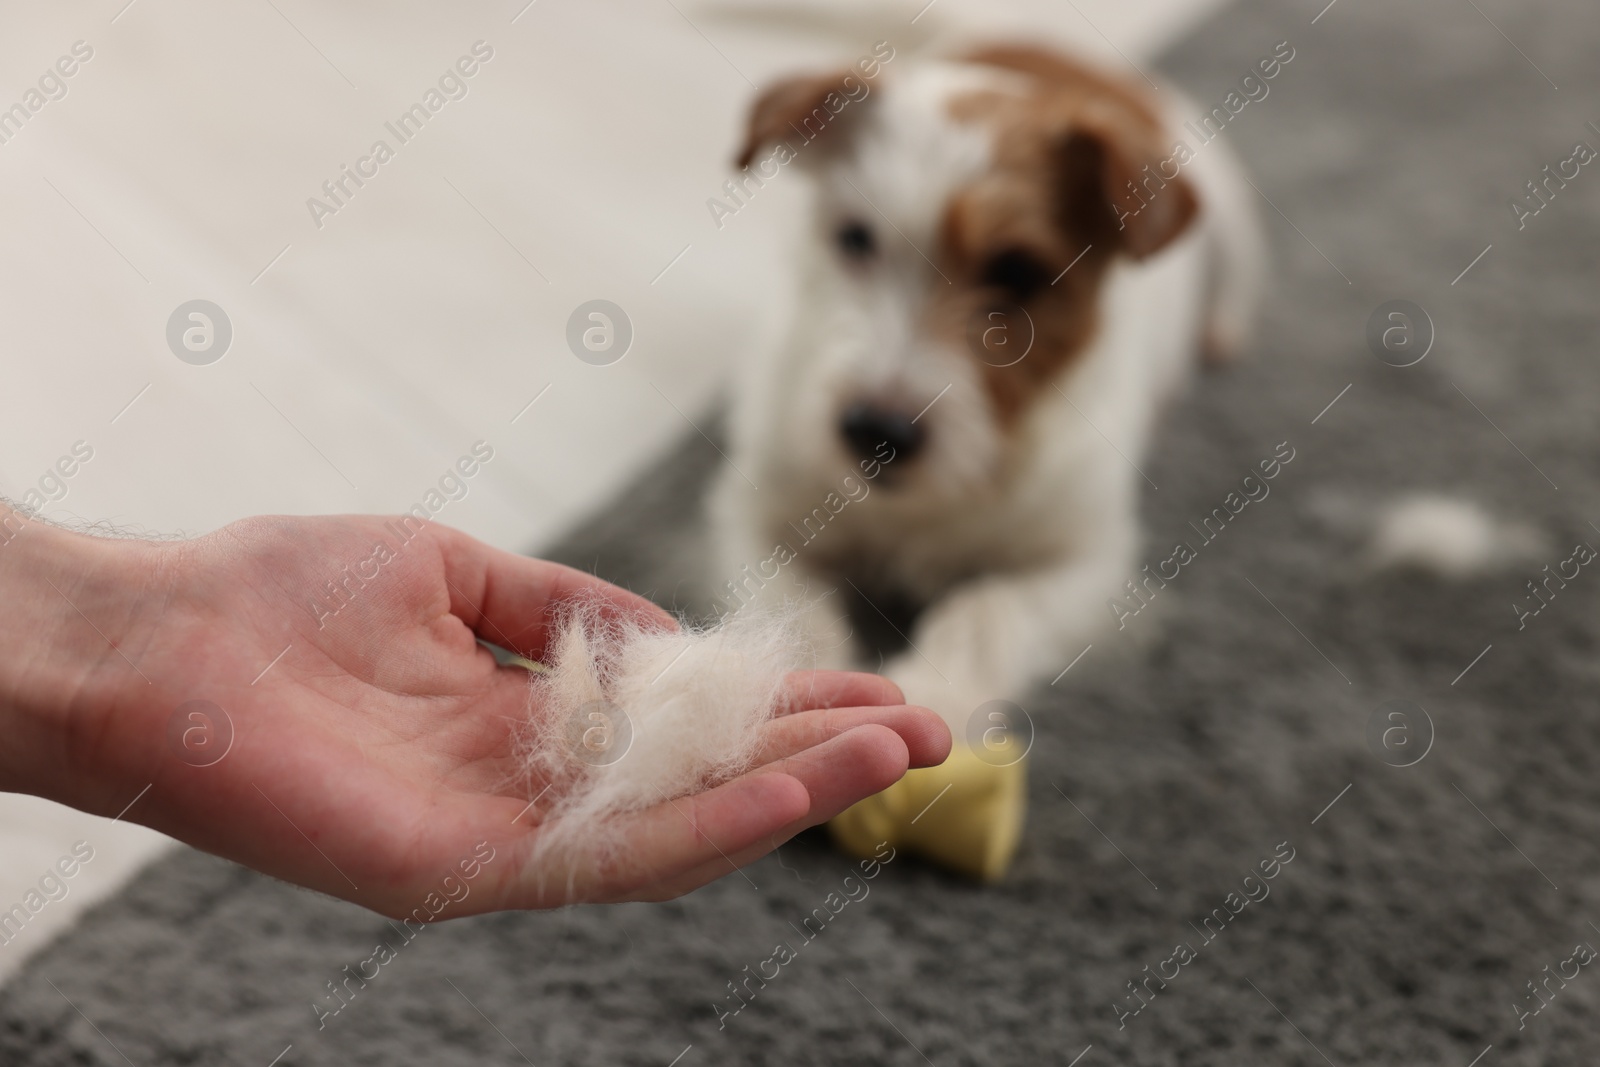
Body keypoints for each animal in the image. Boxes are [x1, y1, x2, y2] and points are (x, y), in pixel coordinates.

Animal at [707, 45, 1254, 739]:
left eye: (1016, 271)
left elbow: (986, 607)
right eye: (855, 238)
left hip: (1233, 208)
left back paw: (1223, 333)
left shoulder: (1087, 563)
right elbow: (787, 614)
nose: (874, 433)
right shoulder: (750, 519)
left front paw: (936, 694)